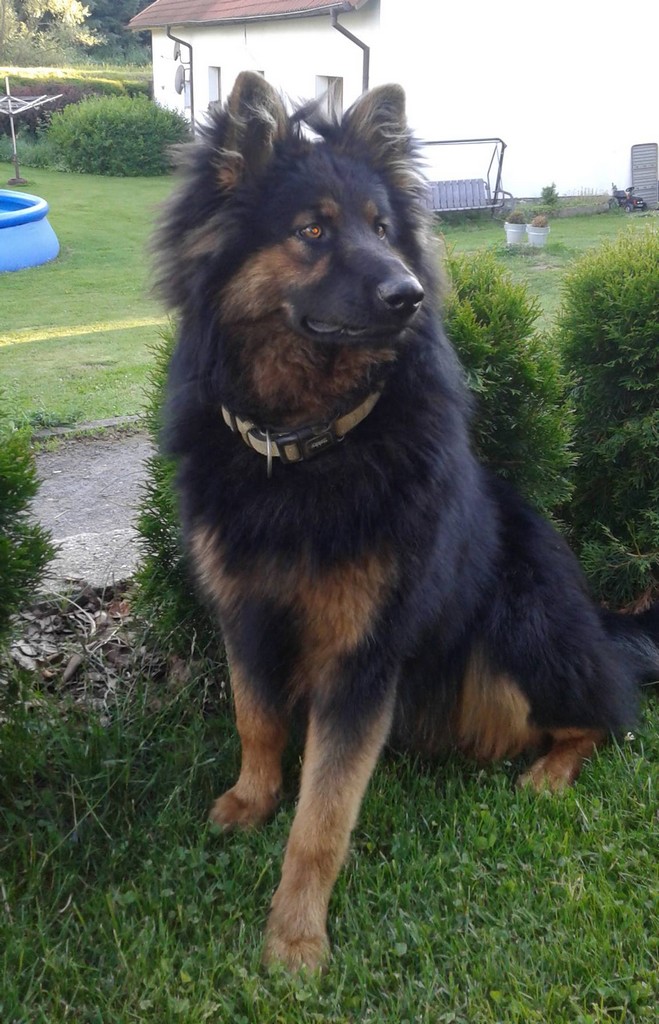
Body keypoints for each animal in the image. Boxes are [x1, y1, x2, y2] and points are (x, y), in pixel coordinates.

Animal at [156, 72, 659, 971]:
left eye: (384, 228)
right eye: (313, 230)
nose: (409, 294)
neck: (308, 445)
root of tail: (599, 621)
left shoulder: (362, 655)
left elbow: (323, 816)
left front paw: (295, 937)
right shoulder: (245, 614)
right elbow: (255, 719)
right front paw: (251, 799)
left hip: (518, 630)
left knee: (603, 718)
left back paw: (550, 773)